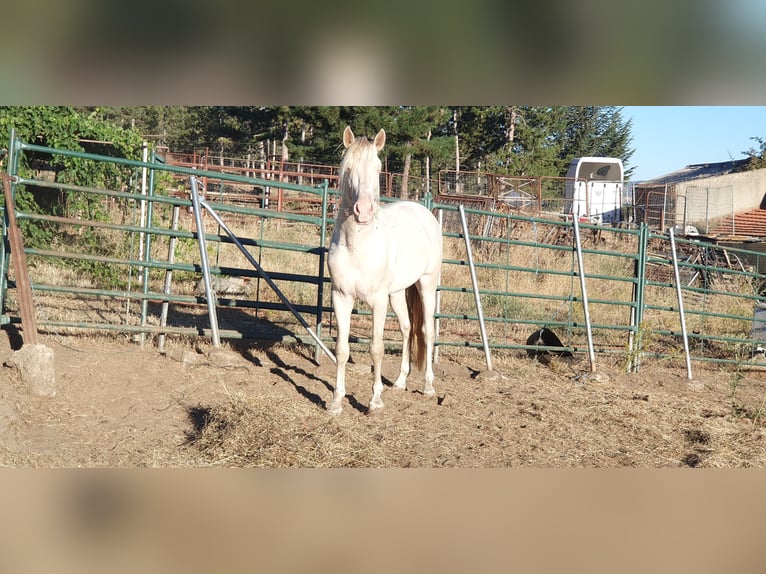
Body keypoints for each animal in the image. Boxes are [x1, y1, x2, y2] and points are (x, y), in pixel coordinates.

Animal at [328, 126, 448, 416]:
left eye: (377, 167)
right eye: (348, 167)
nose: (363, 211)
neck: (357, 245)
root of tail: (422, 211)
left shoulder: (378, 301)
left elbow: (377, 348)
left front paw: (375, 401)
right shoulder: (340, 296)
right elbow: (342, 349)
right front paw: (336, 402)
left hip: (426, 285)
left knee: (426, 331)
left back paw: (428, 387)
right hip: (398, 293)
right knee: (406, 328)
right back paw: (401, 381)